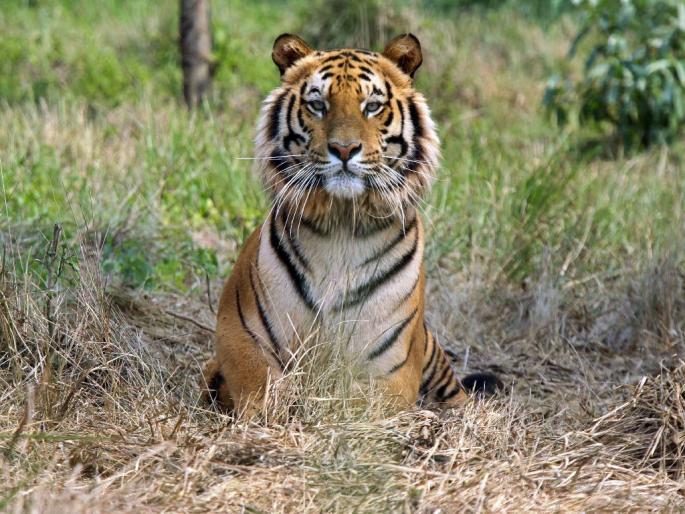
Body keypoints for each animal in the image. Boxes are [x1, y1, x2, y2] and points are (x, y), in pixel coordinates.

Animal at [202, 33, 500, 417]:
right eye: (318, 104)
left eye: (372, 106)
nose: (344, 149)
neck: (341, 225)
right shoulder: (239, 334)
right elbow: (260, 388)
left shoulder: (391, 367)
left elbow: (359, 407)